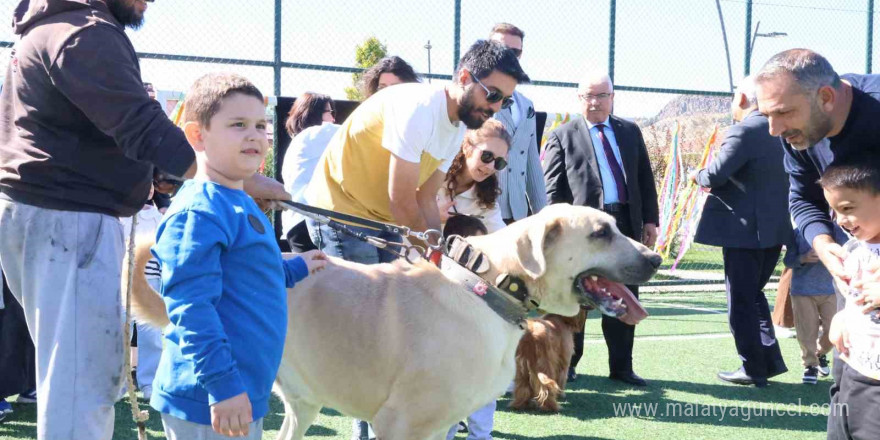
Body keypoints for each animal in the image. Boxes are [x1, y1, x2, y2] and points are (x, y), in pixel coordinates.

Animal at [127, 205, 656, 438]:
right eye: (602, 232)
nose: (654, 257)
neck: (486, 288)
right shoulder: (397, 425)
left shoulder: (437, 428)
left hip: (302, 403)